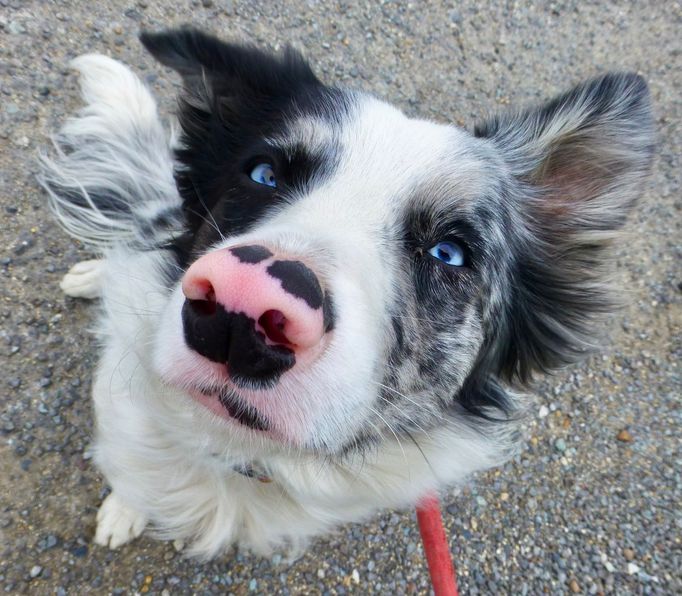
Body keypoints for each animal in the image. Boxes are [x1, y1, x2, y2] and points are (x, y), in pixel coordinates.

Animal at [38, 28, 652, 560]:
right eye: (263, 174)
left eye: (450, 252)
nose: (241, 311)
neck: (243, 452)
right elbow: (133, 473)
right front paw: (125, 509)